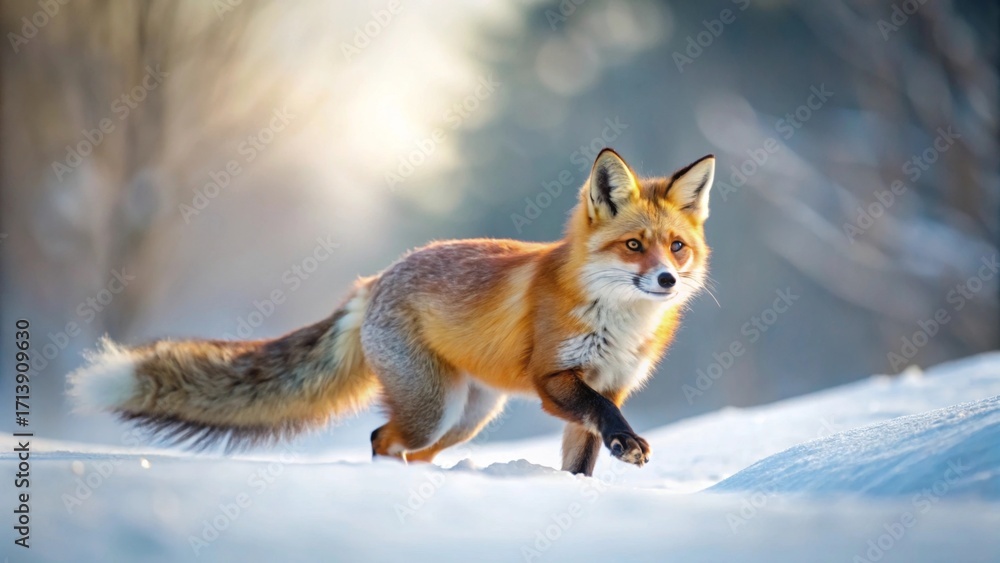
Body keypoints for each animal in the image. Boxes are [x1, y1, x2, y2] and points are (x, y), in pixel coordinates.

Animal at [68, 148, 715, 476]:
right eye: (633, 245)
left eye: (676, 247)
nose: (666, 278)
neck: (619, 323)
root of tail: (378, 277)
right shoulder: (555, 378)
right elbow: (603, 414)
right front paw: (627, 443)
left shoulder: (610, 384)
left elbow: (584, 457)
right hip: (433, 410)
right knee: (383, 438)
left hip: (465, 418)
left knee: (411, 449)